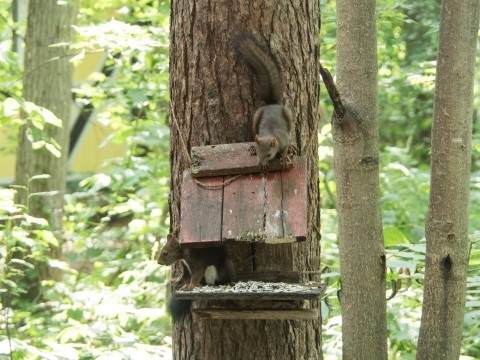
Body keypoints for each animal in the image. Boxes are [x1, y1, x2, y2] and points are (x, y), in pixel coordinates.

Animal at [232, 32, 292, 169]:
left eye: (269, 154)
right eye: (260, 152)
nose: (259, 163)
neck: (270, 135)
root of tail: (271, 104)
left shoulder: (284, 140)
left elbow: (285, 149)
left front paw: (284, 158)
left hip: (288, 115)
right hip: (256, 118)